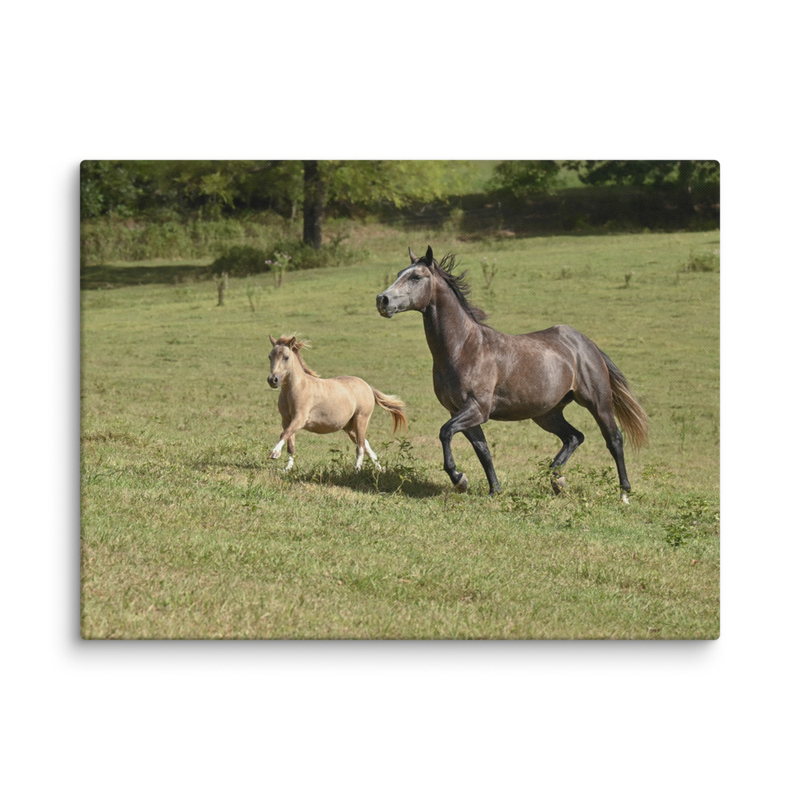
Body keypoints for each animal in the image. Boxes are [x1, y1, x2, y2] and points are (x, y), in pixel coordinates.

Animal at [267, 335, 407, 472]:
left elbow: (284, 434)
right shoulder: (286, 421)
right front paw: (287, 468)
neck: (297, 388)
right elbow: (290, 444)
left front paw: (274, 454)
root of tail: (367, 386)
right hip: (350, 427)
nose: (273, 380)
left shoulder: (299, 419)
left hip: (361, 420)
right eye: (270, 356)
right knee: (365, 444)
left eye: (286, 357)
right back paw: (380, 468)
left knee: (361, 446)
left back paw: (357, 469)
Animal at [375, 246, 649, 502]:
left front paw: (459, 478)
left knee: (614, 439)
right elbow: (482, 450)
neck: (463, 348)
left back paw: (623, 493)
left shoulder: (477, 408)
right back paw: (557, 480)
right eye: (399, 274)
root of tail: (585, 343)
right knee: (574, 437)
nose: (382, 300)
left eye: (416, 277)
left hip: (598, 403)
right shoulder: (460, 411)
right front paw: (493, 490)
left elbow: (445, 433)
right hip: (547, 413)